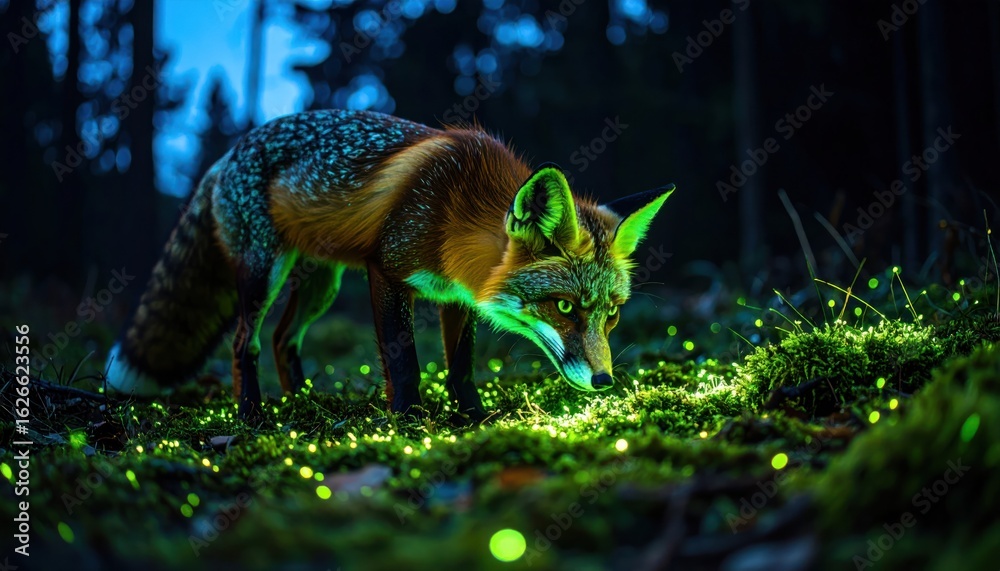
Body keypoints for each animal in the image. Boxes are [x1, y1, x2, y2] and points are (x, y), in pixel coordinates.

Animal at [105, 109, 674, 423]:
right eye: (564, 307)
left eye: (612, 314)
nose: (604, 381)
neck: (455, 209)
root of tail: (227, 155)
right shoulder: (386, 272)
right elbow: (406, 365)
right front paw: (408, 422)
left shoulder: (456, 296)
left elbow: (461, 366)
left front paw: (472, 418)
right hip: (265, 272)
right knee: (245, 341)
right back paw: (254, 417)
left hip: (323, 285)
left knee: (284, 339)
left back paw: (306, 404)